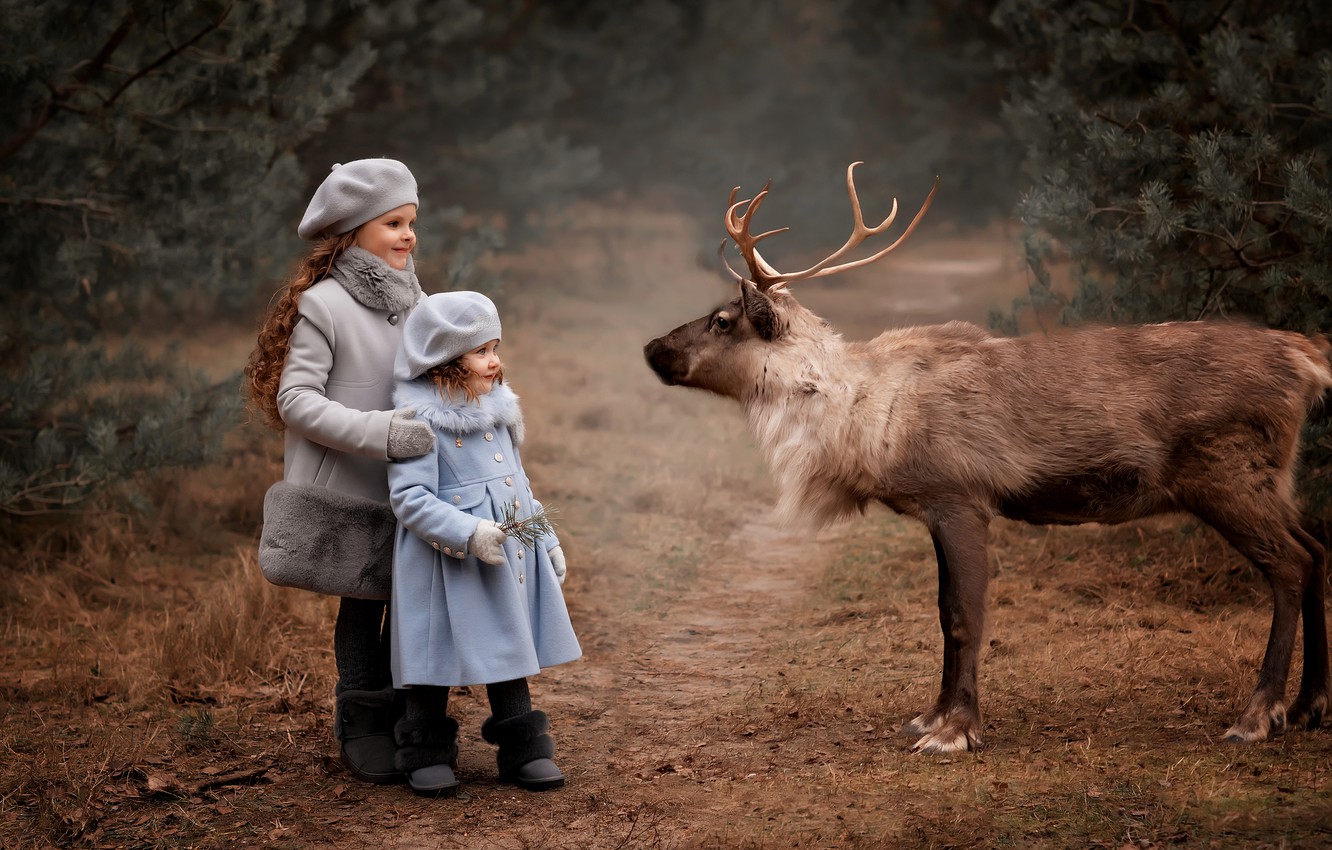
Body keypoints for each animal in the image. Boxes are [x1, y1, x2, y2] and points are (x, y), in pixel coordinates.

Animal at [643, 162, 1332, 754]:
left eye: (723, 319)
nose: (652, 348)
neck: (861, 420)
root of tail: (1307, 359)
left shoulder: (959, 497)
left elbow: (965, 615)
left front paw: (956, 731)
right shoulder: (934, 510)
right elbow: (943, 611)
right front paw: (931, 715)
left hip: (1227, 476)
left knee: (1291, 564)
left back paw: (1257, 716)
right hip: (1271, 479)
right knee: (1318, 548)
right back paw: (1308, 707)